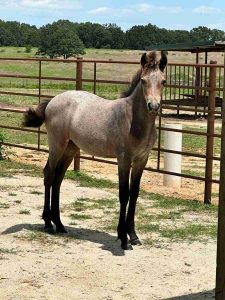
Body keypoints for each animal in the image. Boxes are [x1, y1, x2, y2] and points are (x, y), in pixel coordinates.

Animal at [23, 51, 167, 248]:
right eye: (144, 81)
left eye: (163, 81)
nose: (153, 106)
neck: (133, 120)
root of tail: (52, 100)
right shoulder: (124, 159)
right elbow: (124, 194)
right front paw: (123, 239)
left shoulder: (141, 160)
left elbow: (135, 194)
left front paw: (133, 235)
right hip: (57, 145)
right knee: (49, 175)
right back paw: (47, 224)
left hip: (70, 148)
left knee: (58, 179)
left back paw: (59, 224)